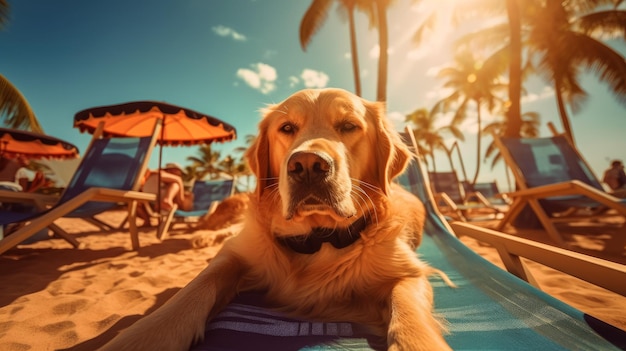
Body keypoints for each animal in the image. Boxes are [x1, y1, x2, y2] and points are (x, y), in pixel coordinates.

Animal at [100, 88, 448, 351]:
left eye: (349, 126)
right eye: (287, 128)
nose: (307, 165)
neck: (317, 239)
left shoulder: (409, 273)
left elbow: (409, 314)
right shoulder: (235, 256)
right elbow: (192, 291)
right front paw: (145, 335)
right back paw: (202, 236)